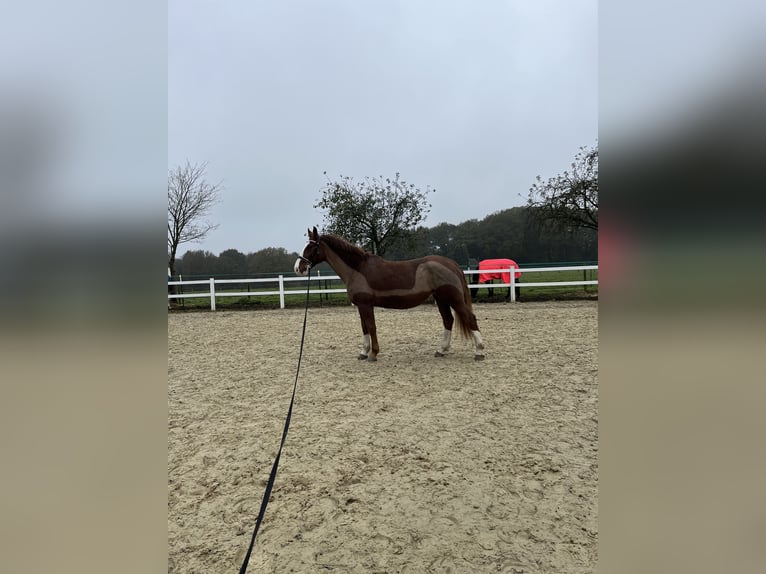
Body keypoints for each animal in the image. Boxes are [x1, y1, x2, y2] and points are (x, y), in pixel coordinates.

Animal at [294, 227, 486, 362]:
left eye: (311, 247)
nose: (298, 268)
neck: (358, 269)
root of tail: (451, 263)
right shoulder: (361, 307)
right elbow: (364, 328)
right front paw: (363, 352)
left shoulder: (366, 305)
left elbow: (371, 327)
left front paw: (373, 354)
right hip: (441, 299)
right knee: (448, 320)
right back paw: (441, 350)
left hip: (453, 299)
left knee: (470, 318)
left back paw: (479, 351)